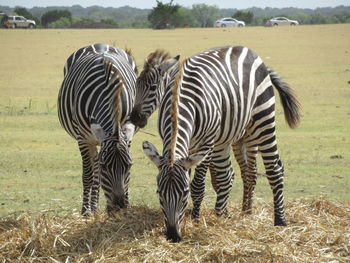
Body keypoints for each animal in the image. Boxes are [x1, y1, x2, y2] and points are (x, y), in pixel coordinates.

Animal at [57, 43, 137, 216]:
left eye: (129, 165)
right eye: (105, 166)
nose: (119, 207)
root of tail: (101, 45)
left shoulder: (126, 133)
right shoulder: (83, 138)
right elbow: (89, 174)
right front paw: (86, 211)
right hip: (90, 139)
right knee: (93, 168)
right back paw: (91, 208)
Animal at [141, 46, 300, 243]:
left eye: (184, 193)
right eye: (159, 193)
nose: (172, 236)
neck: (177, 103)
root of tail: (247, 50)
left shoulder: (207, 142)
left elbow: (198, 185)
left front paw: (195, 220)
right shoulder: (181, 146)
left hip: (263, 121)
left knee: (275, 169)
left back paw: (280, 220)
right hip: (226, 138)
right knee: (227, 175)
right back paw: (222, 214)